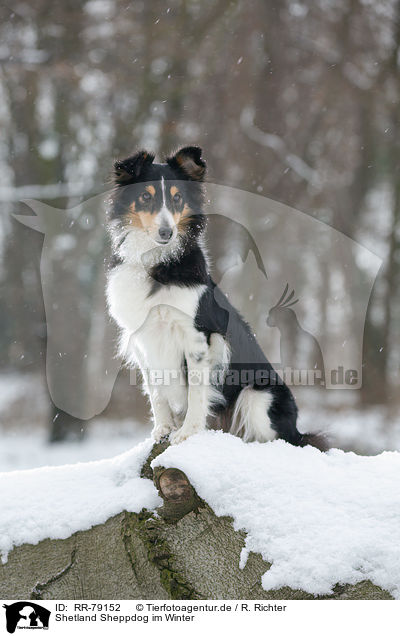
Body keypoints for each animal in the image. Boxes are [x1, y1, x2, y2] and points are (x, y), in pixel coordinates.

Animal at [104, 147, 326, 450]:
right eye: (145, 197)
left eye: (177, 198)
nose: (167, 233)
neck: (158, 263)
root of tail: (297, 429)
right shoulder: (144, 340)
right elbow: (156, 393)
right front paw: (163, 430)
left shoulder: (199, 337)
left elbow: (196, 392)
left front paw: (187, 433)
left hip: (258, 397)